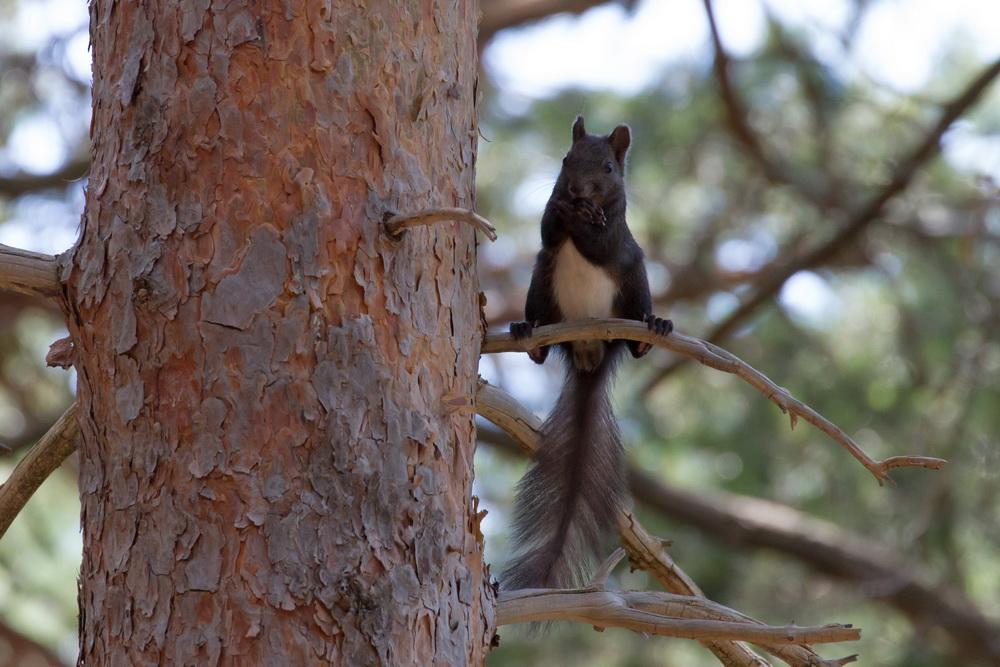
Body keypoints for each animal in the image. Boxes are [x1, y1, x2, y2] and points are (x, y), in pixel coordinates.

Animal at [500, 115, 672, 588]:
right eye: (565, 159)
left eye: (608, 169)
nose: (576, 190)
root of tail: (589, 354)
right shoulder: (547, 224)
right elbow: (547, 230)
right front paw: (563, 213)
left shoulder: (617, 231)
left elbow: (600, 244)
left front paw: (582, 218)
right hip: (541, 282)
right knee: (540, 333)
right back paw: (527, 332)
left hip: (635, 283)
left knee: (635, 337)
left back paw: (652, 329)